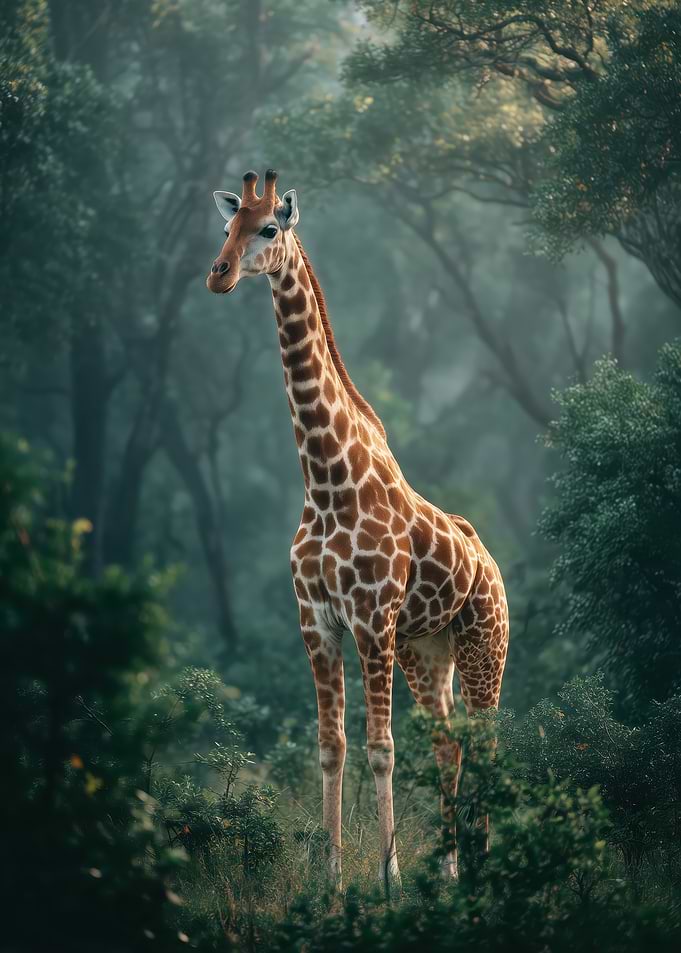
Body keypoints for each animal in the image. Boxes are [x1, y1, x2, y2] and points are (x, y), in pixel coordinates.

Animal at [206, 170, 509, 889]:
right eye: (226, 226)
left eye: (269, 227)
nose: (218, 274)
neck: (324, 481)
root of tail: (492, 567)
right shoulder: (317, 620)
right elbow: (331, 744)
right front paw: (331, 877)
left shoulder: (371, 617)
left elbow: (379, 746)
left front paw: (389, 878)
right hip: (427, 651)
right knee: (448, 741)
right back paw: (450, 869)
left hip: (483, 645)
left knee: (485, 741)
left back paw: (484, 868)